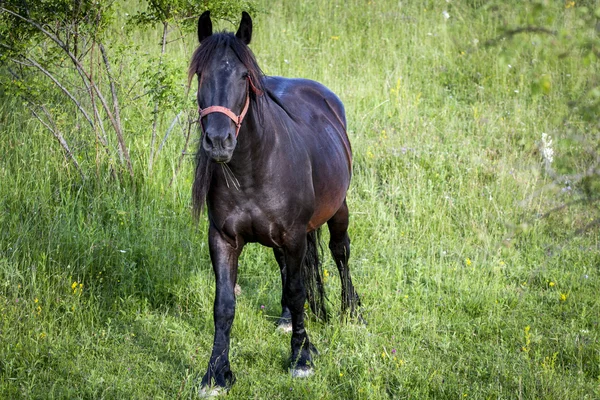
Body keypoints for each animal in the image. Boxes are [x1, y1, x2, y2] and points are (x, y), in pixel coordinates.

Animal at [190, 10, 360, 394]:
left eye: (244, 76)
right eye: (201, 74)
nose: (218, 141)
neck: (252, 168)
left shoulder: (295, 236)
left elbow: (298, 291)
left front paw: (301, 357)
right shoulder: (222, 239)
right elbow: (224, 304)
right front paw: (216, 373)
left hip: (338, 208)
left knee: (340, 252)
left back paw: (352, 311)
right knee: (284, 266)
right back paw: (284, 320)